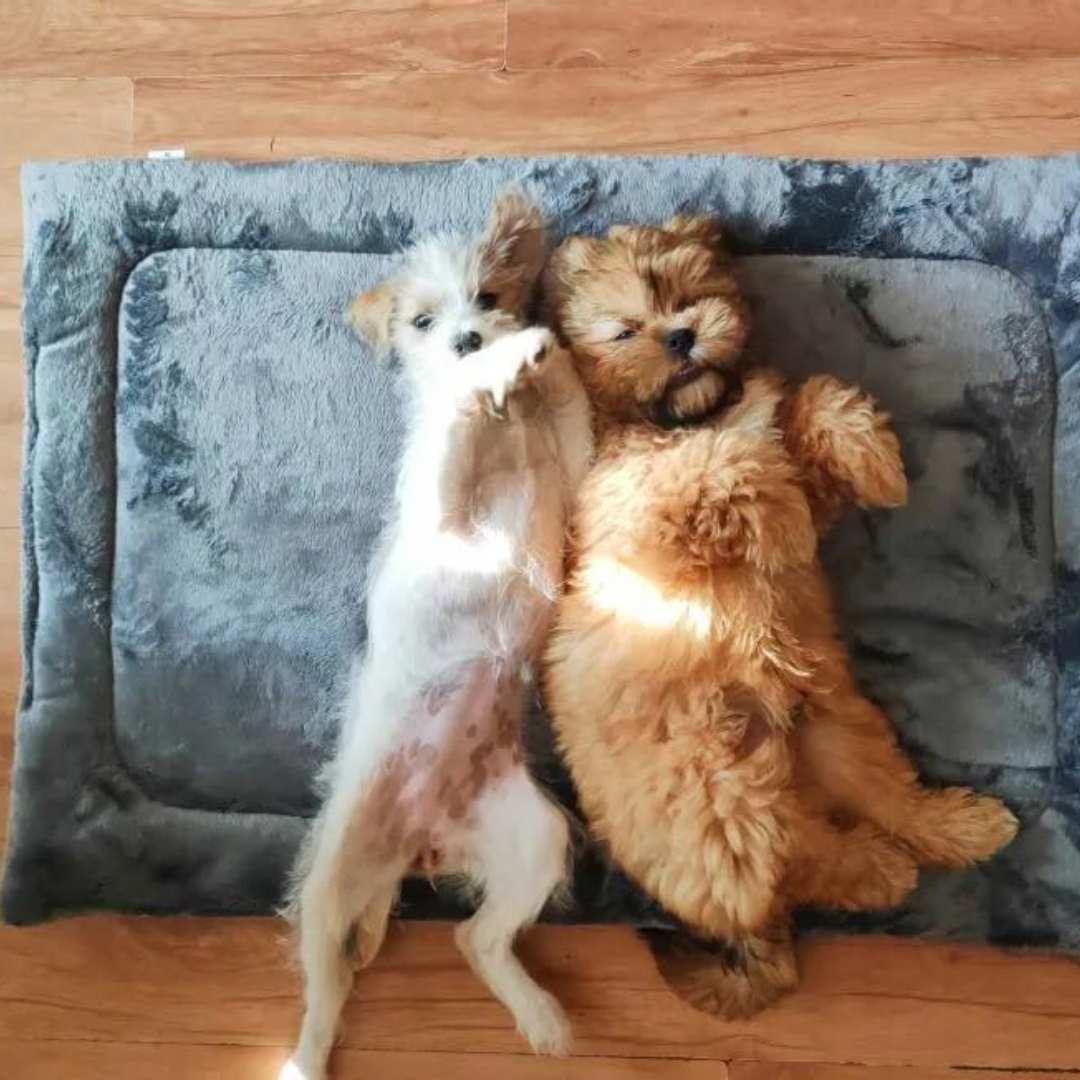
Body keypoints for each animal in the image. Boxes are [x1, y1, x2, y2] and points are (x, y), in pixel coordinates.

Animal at [280, 191, 593, 1080]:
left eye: (488, 294)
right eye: (422, 320)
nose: (469, 336)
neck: (506, 428)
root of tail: (420, 845)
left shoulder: (574, 463)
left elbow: (572, 403)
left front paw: (546, 352)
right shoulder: (444, 505)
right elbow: (457, 400)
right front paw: (500, 362)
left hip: (533, 837)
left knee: (474, 939)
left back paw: (540, 1016)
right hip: (333, 875)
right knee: (327, 984)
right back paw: (301, 1059)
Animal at [542, 214, 1018, 1018]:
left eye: (690, 292)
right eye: (626, 330)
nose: (680, 337)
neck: (694, 413)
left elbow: (810, 407)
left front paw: (874, 460)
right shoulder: (648, 507)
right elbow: (727, 470)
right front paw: (783, 514)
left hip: (838, 738)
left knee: (888, 802)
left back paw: (961, 826)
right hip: (725, 812)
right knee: (803, 865)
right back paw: (885, 869)